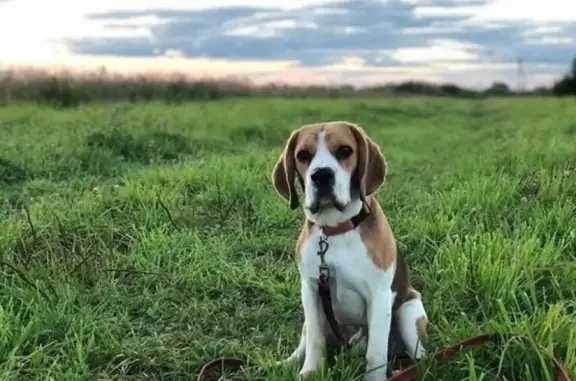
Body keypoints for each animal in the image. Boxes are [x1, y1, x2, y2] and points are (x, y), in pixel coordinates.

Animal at [272, 121, 428, 380]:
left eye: (345, 151)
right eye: (303, 155)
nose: (321, 175)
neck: (335, 230)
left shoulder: (379, 296)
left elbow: (376, 352)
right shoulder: (310, 289)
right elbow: (315, 340)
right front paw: (309, 372)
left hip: (408, 314)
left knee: (419, 356)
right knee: (306, 338)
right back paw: (285, 363)